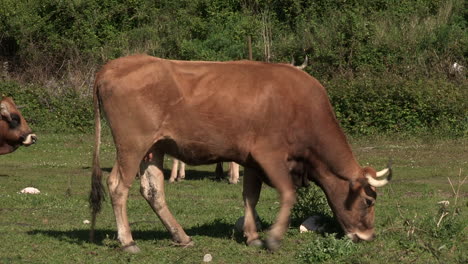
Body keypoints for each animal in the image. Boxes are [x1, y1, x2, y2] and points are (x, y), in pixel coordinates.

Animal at [89, 54, 390, 253]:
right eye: (368, 201)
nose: (368, 236)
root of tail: (114, 65)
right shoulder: (270, 155)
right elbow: (288, 193)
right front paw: (273, 238)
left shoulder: (252, 161)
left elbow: (250, 196)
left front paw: (252, 235)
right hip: (132, 145)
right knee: (117, 186)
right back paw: (128, 241)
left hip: (154, 149)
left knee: (152, 190)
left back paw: (181, 236)